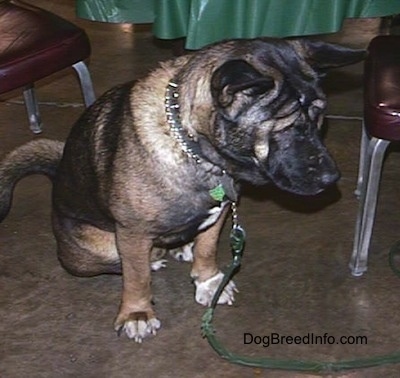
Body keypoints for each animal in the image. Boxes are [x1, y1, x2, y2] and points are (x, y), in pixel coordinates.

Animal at [0, 37, 366, 342]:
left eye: (319, 117)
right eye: (285, 127)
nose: (331, 178)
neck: (194, 148)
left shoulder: (221, 212)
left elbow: (207, 248)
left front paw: (208, 280)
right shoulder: (132, 231)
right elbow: (136, 277)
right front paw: (137, 312)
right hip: (97, 247)